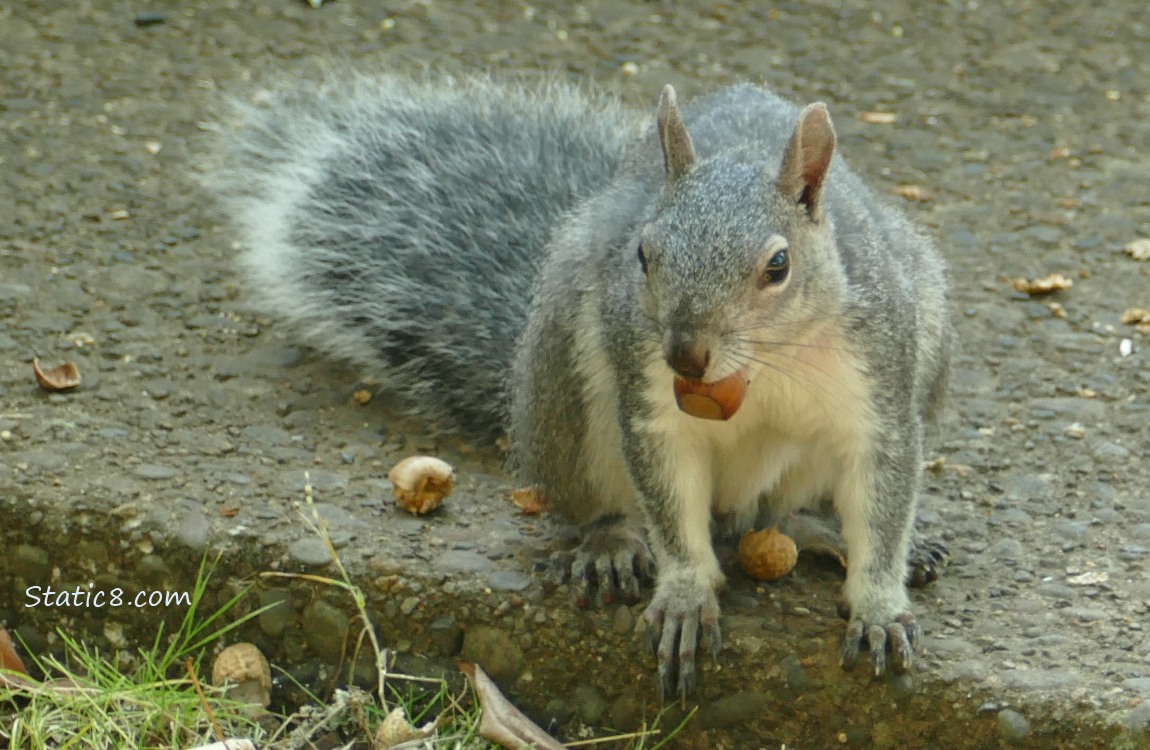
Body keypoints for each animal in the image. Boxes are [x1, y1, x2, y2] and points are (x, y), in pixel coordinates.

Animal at [207, 73, 952, 699]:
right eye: (644, 254)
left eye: (778, 266)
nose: (685, 354)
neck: (761, 366)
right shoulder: (652, 405)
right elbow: (670, 504)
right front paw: (685, 596)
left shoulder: (880, 388)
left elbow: (884, 499)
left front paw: (879, 602)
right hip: (566, 375)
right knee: (610, 502)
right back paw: (610, 546)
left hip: (927, 331)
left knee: (777, 516)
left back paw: (828, 527)